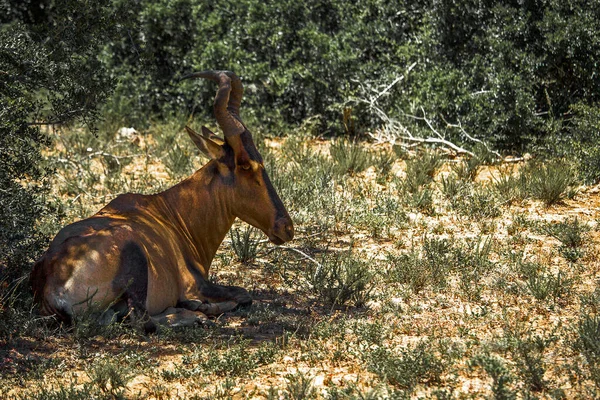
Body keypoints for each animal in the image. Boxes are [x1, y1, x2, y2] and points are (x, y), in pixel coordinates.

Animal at [30, 69, 296, 332]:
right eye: (244, 164)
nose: (286, 227)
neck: (169, 214)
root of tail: (52, 285)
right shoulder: (196, 285)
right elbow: (242, 295)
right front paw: (200, 306)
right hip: (135, 259)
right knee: (142, 320)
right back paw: (195, 313)